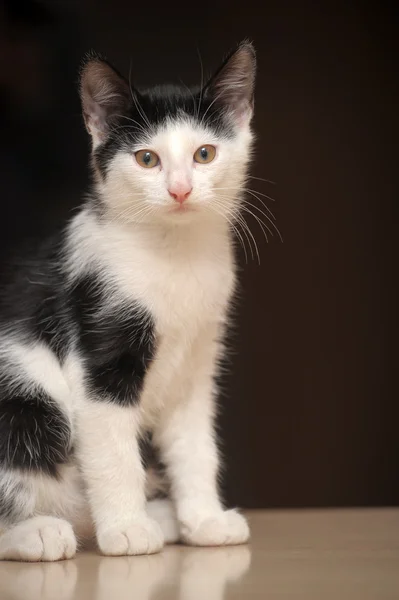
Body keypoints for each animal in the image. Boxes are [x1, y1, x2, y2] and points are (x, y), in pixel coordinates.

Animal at [0, 42, 256, 564]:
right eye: (146, 158)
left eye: (204, 154)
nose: (180, 189)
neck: (174, 254)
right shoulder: (99, 346)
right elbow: (114, 450)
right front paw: (126, 530)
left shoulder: (197, 361)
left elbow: (195, 445)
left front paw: (204, 520)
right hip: (25, 401)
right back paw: (39, 531)